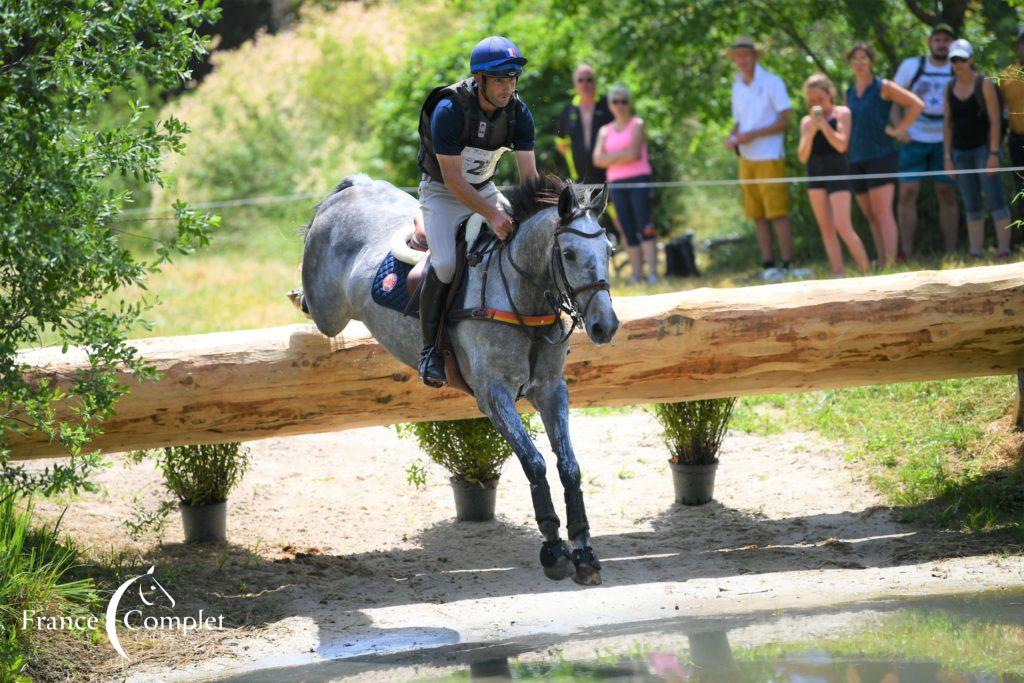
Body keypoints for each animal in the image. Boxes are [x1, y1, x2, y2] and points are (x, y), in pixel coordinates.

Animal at [296, 174, 614, 585]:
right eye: (570, 254)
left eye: (609, 250)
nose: (605, 326)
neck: (522, 294)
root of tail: (356, 187)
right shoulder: (493, 396)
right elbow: (535, 463)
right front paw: (553, 550)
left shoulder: (551, 390)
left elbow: (569, 467)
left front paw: (584, 552)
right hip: (329, 312)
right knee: (314, 305)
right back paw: (298, 294)